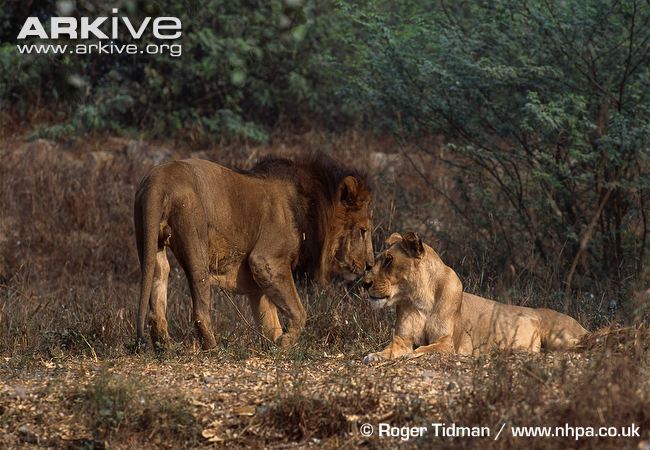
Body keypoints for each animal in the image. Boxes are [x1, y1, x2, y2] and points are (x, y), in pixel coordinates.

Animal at [134, 154, 374, 351]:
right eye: (363, 230)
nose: (370, 264)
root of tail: (159, 180)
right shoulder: (267, 259)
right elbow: (299, 312)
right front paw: (286, 343)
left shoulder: (258, 282)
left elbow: (270, 322)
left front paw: (276, 346)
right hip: (195, 243)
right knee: (200, 309)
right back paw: (213, 349)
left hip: (150, 242)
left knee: (157, 296)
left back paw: (165, 347)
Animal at [362, 232, 588, 363]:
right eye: (378, 259)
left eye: (389, 261)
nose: (364, 283)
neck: (419, 297)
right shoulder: (402, 338)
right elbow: (390, 348)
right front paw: (374, 355)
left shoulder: (447, 343)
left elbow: (426, 349)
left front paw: (411, 354)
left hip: (559, 337)